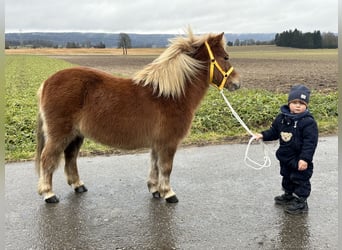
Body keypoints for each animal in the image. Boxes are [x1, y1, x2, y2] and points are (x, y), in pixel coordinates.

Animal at [35, 30, 240, 204]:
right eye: (225, 57)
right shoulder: (168, 142)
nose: (237, 83)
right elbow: (166, 167)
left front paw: (155, 190)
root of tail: (47, 82)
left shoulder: (158, 142)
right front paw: (168, 193)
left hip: (76, 135)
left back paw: (78, 185)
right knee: (48, 159)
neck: (170, 96)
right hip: (60, 135)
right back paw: (48, 194)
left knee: (70, 157)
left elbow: (155, 165)